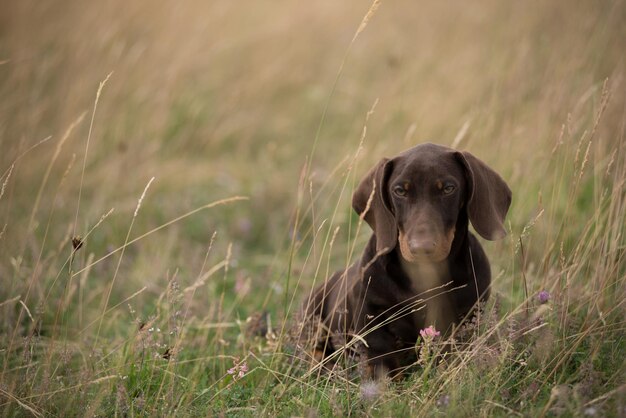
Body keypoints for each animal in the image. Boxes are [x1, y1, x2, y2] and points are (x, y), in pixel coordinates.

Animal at [300, 142, 510, 378]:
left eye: (448, 188)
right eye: (400, 191)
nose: (422, 248)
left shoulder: (467, 317)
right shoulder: (371, 318)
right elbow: (383, 360)